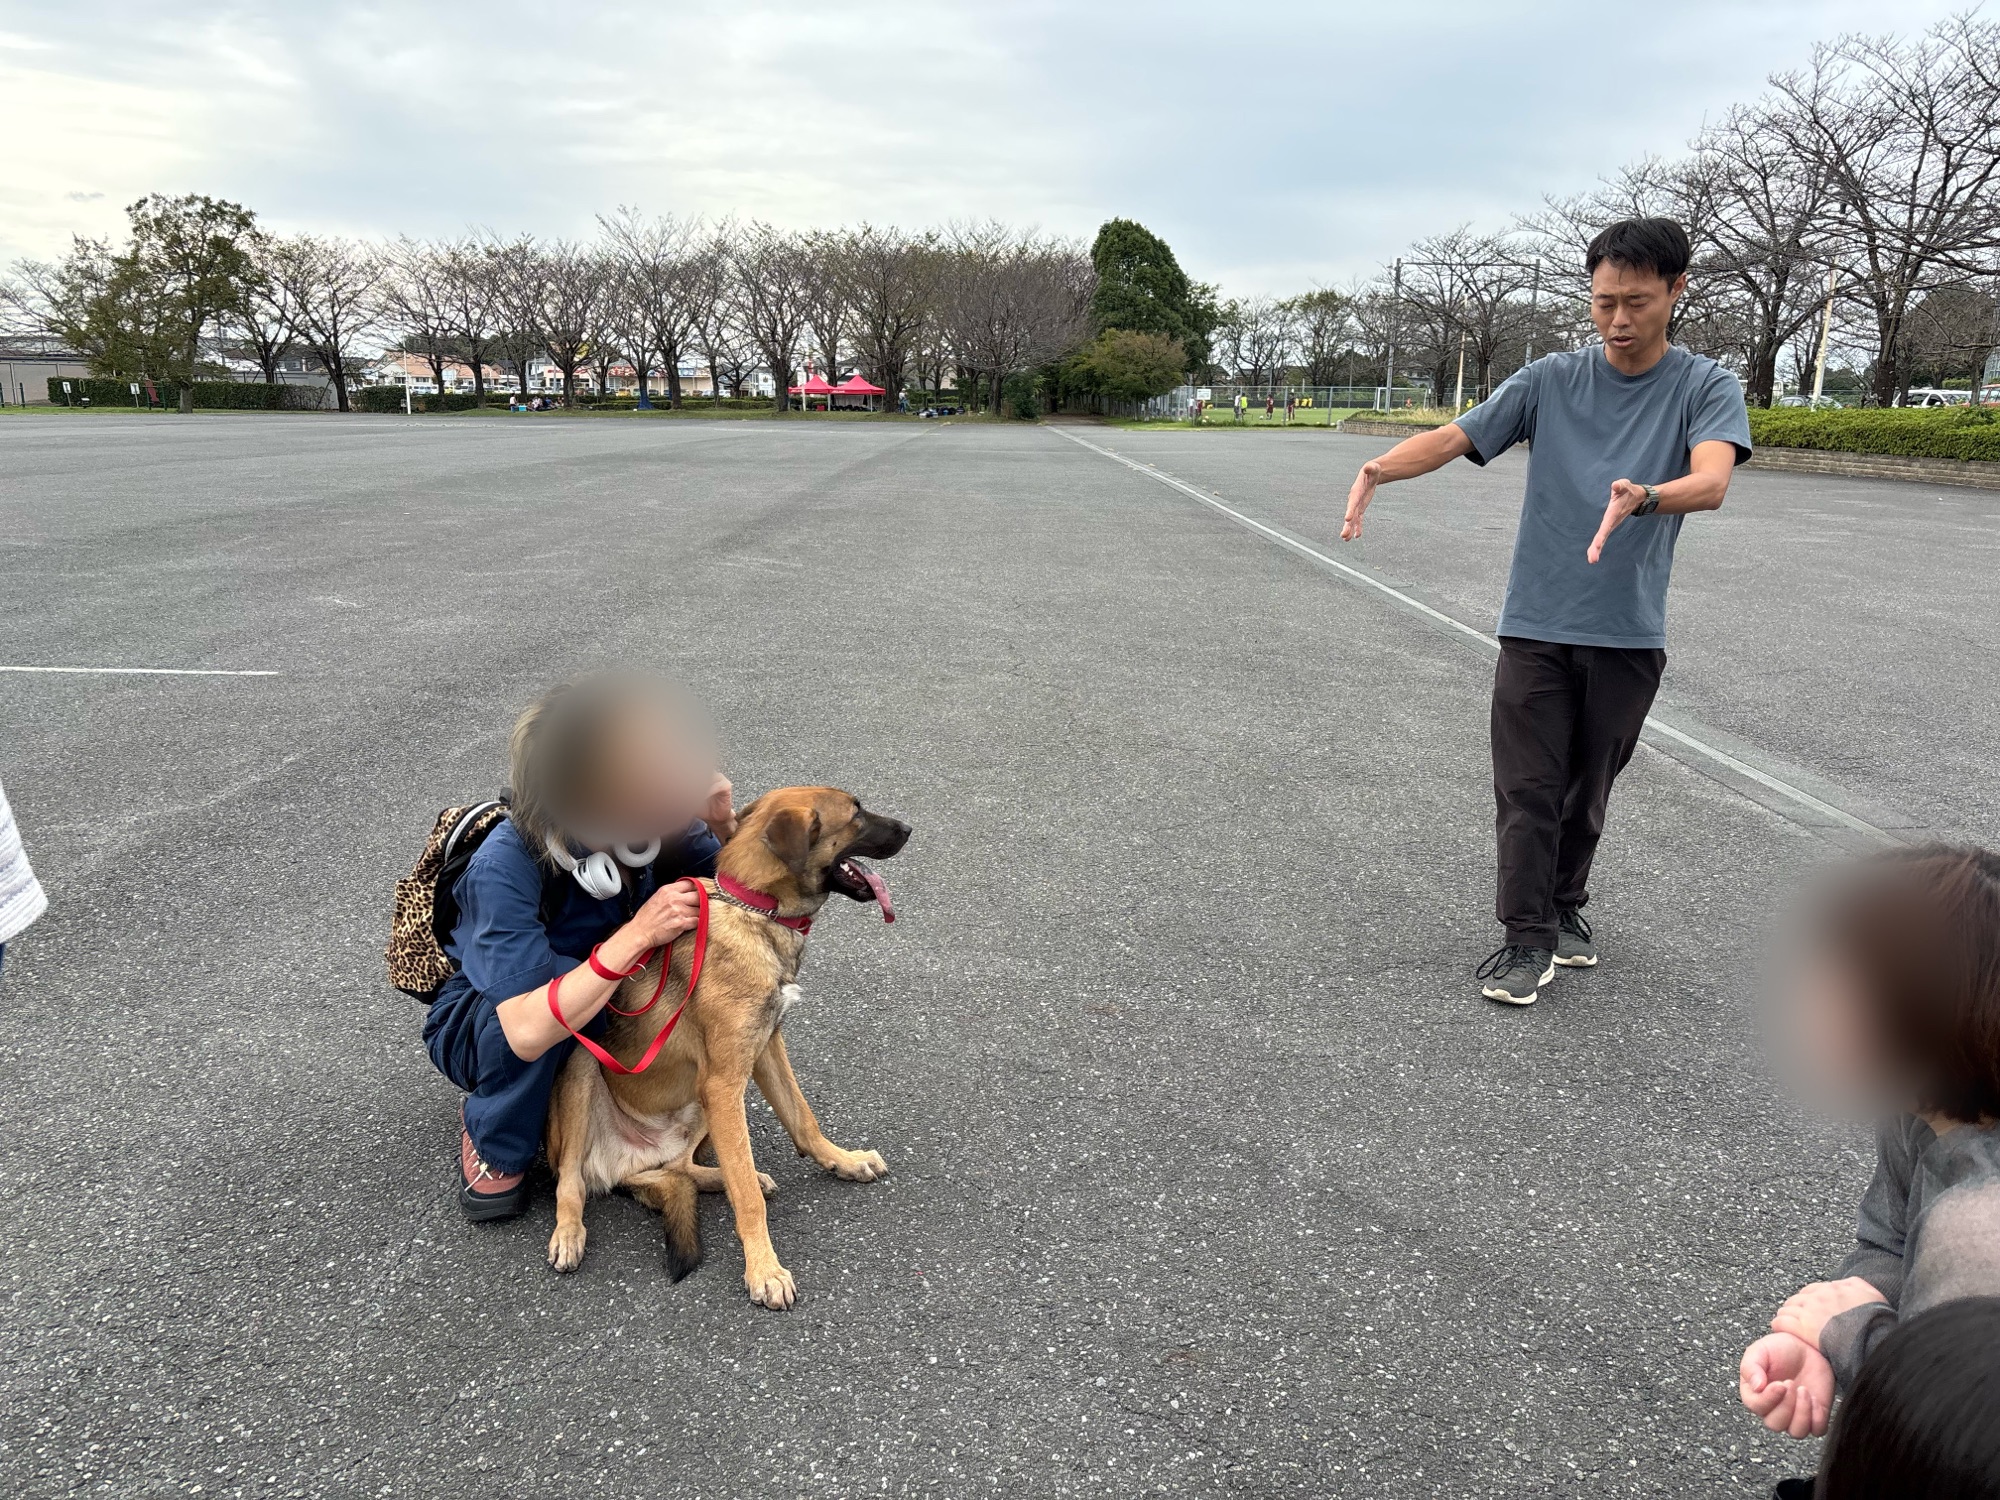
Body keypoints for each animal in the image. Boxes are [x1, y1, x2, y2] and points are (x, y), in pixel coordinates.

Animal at [543, 786, 911, 1309]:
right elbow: (750, 1203)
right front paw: (764, 1269)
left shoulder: (763, 1050)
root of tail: (626, 1170)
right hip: (585, 1069)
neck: (754, 909)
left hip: (702, 1105)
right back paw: (569, 1232)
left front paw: (842, 1160)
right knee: (571, 1182)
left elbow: (803, 1119)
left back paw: (736, 1176)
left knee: (685, 1167)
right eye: (856, 814)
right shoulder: (725, 1080)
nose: (909, 829)